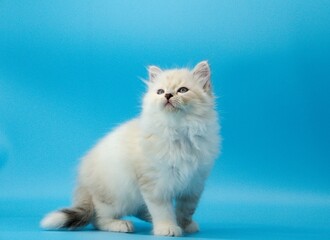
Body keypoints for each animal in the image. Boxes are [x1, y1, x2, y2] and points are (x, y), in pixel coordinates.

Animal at [41, 60, 222, 236]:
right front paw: (167, 228)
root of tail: (83, 182)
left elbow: (186, 210)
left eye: (183, 90)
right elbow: (162, 210)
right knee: (98, 219)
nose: (168, 95)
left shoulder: (194, 183)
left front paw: (185, 225)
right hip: (116, 197)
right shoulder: (155, 183)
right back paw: (121, 224)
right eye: (160, 91)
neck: (178, 131)